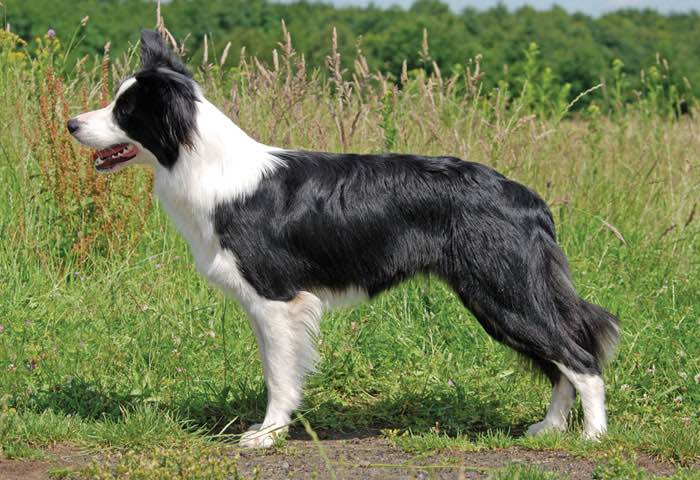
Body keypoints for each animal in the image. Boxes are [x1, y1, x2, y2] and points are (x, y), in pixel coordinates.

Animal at [68, 30, 616, 448]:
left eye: (124, 111)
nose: (70, 122)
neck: (203, 165)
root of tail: (527, 196)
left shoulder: (277, 298)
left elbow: (278, 375)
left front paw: (267, 436)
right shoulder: (267, 305)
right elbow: (279, 370)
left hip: (503, 292)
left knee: (580, 359)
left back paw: (593, 437)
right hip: (503, 297)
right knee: (560, 362)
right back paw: (548, 429)